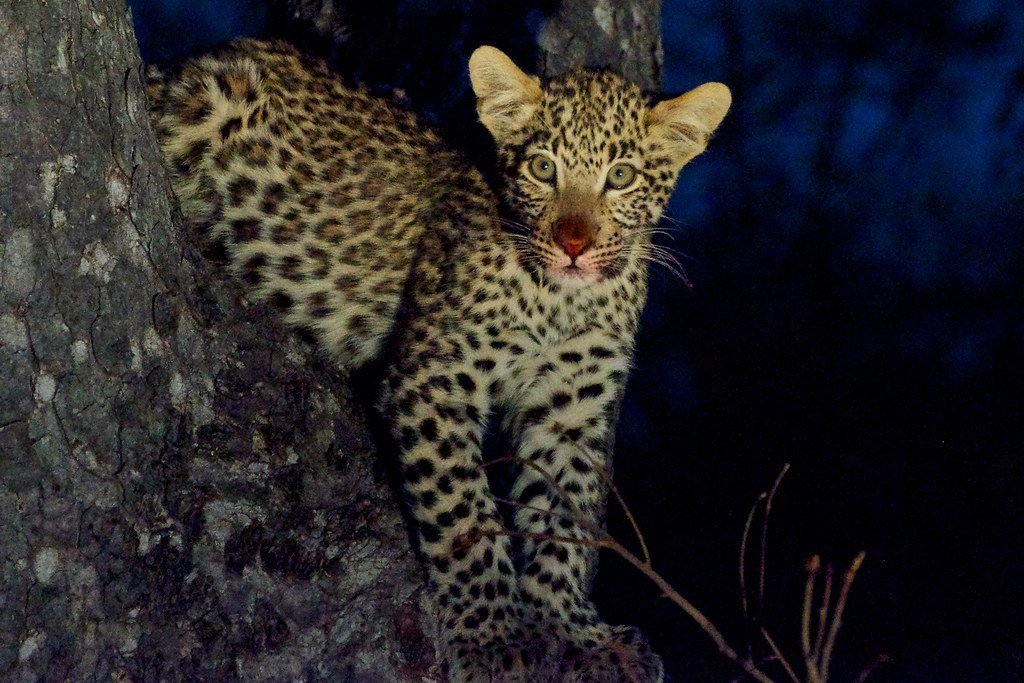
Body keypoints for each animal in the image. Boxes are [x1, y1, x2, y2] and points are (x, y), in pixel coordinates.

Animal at [146, 38, 730, 681]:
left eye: (620, 177)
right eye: (542, 168)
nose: (573, 245)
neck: (562, 301)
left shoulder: (570, 413)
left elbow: (562, 520)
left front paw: (577, 632)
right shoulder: (435, 378)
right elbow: (463, 511)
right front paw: (495, 636)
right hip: (214, 97)